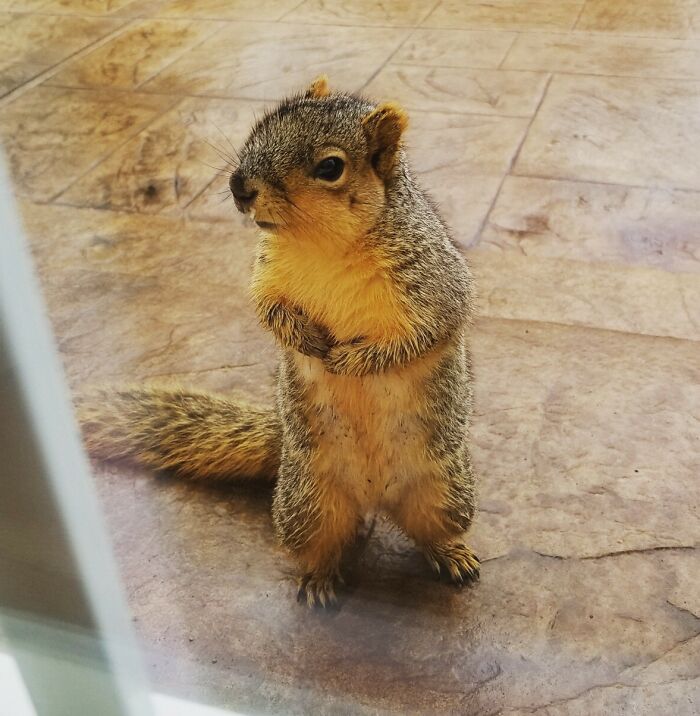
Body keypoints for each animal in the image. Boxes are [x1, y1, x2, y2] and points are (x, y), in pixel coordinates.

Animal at [79, 75, 478, 608]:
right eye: (259, 128)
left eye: (330, 167)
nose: (238, 186)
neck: (322, 244)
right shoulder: (267, 276)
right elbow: (267, 312)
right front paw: (304, 339)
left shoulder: (432, 281)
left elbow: (426, 332)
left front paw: (355, 359)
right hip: (307, 505)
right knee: (321, 545)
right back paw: (318, 579)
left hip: (445, 490)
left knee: (432, 530)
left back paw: (451, 554)